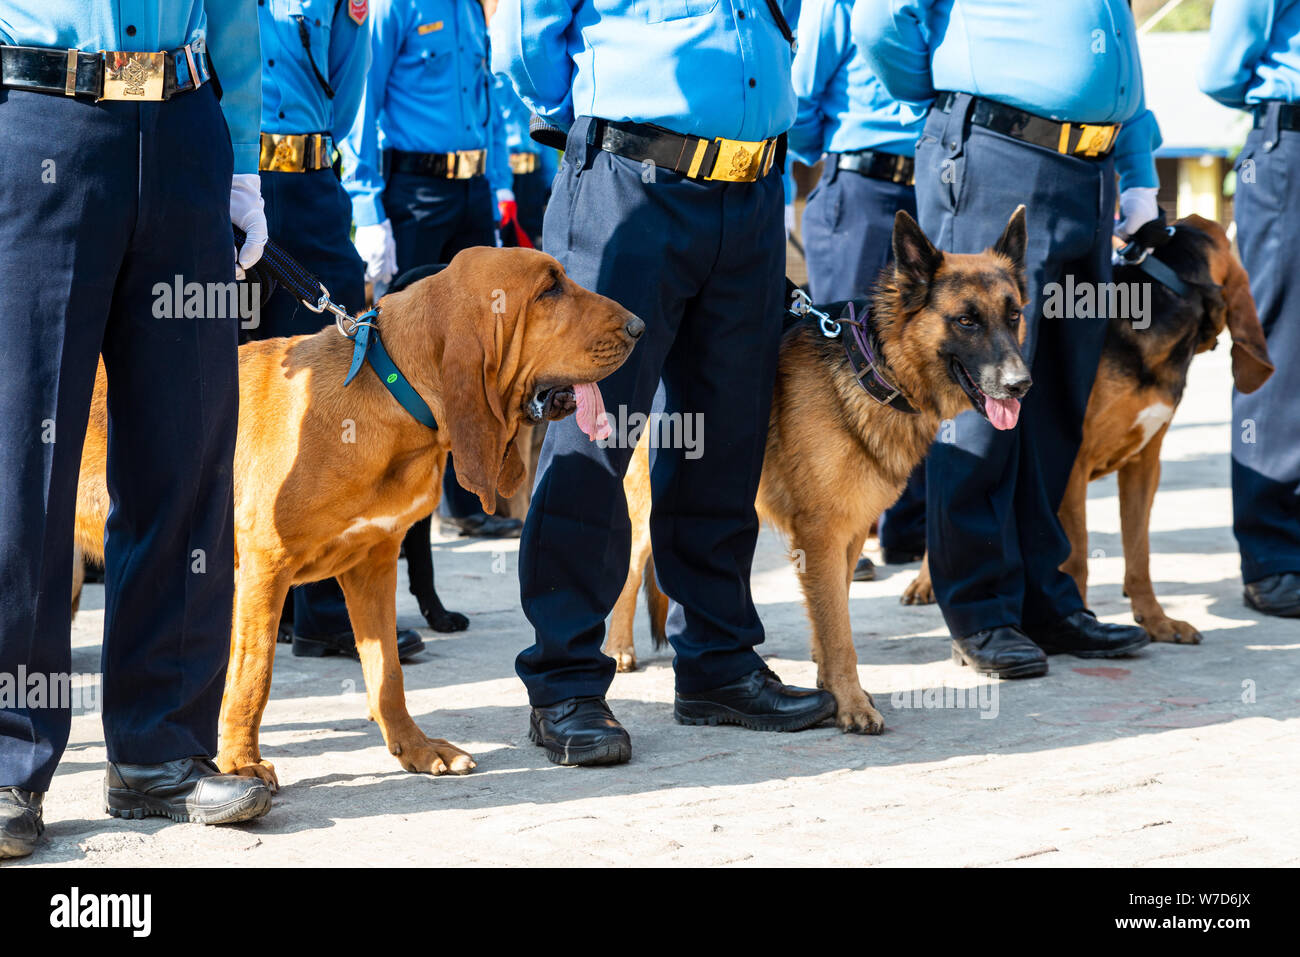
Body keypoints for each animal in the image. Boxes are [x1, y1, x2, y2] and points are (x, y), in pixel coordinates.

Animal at [603, 210, 1029, 733]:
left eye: (1013, 316)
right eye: (966, 320)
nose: (1022, 384)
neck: (875, 371)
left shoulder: (849, 534)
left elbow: (834, 614)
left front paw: (832, 687)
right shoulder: (821, 534)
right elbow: (839, 630)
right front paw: (852, 704)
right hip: (644, 506)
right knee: (631, 567)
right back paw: (618, 647)